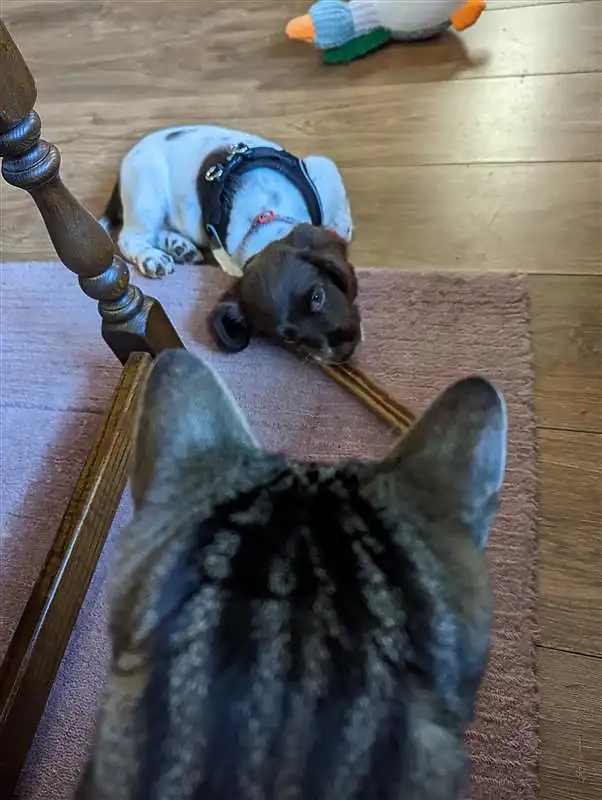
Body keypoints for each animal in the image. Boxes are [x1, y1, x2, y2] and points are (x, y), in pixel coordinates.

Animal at [102, 125, 360, 362]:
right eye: (287, 339)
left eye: (318, 297)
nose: (341, 353)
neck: (264, 217)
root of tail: (119, 175)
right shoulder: (226, 256)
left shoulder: (320, 168)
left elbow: (339, 221)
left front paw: (339, 228)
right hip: (148, 192)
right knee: (129, 237)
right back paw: (153, 256)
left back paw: (179, 246)